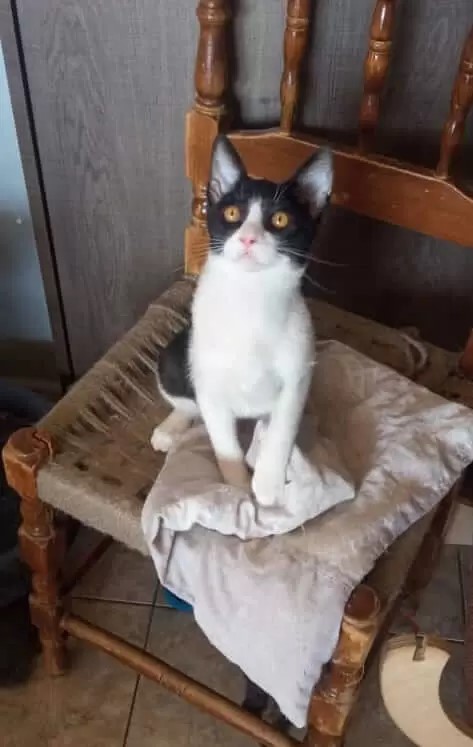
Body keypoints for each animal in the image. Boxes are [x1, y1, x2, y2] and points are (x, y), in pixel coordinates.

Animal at [151, 135, 333, 506]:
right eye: (232, 213)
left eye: (280, 220)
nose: (249, 238)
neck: (251, 298)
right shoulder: (209, 383)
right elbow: (224, 442)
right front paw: (235, 488)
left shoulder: (297, 374)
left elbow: (281, 428)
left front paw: (267, 483)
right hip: (176, 353)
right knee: (184, 394)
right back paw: (171, 427)